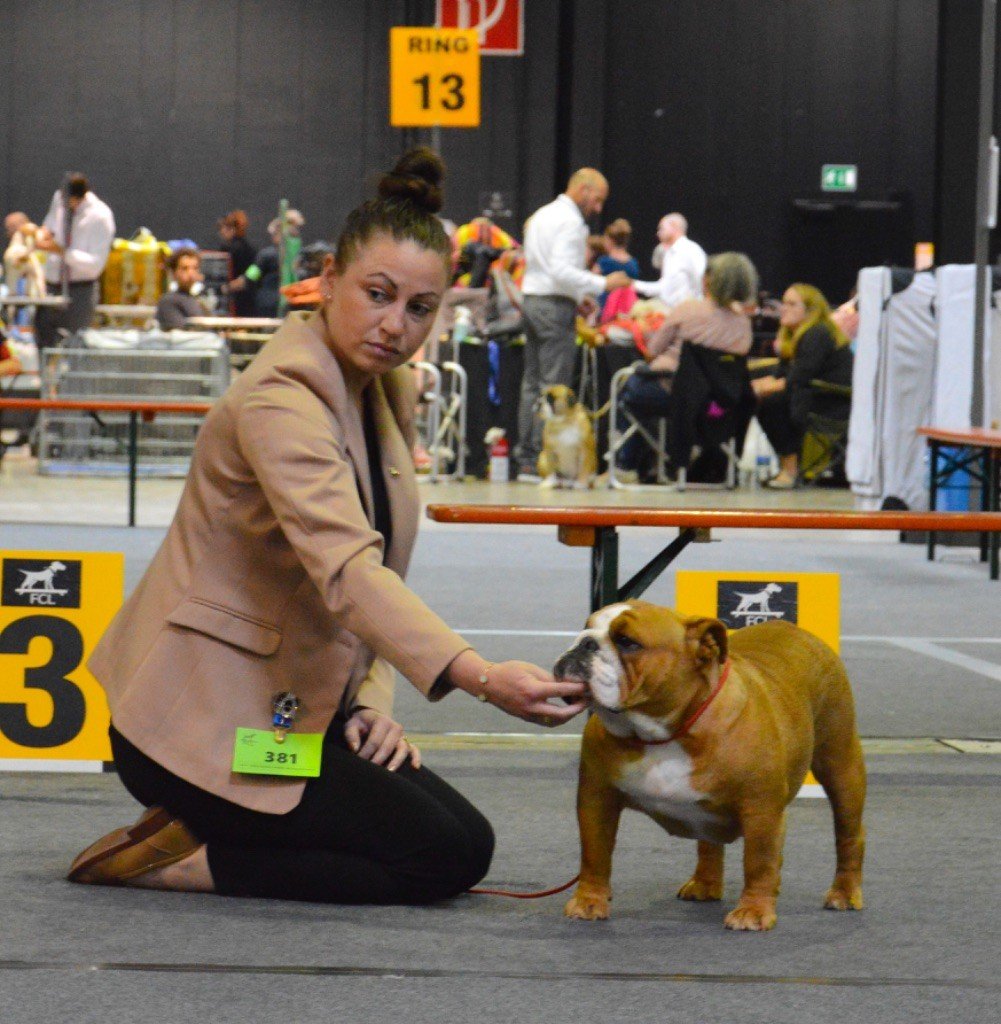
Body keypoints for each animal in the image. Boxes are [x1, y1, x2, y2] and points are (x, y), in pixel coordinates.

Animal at [552, 598, 867, 929]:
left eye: (627, 642)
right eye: (586, 626)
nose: (585, 642)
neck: (662, 732)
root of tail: (799, 632)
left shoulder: (762, 811)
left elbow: (759, 862)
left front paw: (753, 911)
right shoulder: (597, 800)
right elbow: (595, 855)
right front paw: (588, 902)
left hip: (841, 768)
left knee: (849, 836)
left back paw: (844, 893)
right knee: (709, 841)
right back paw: (704, 885)